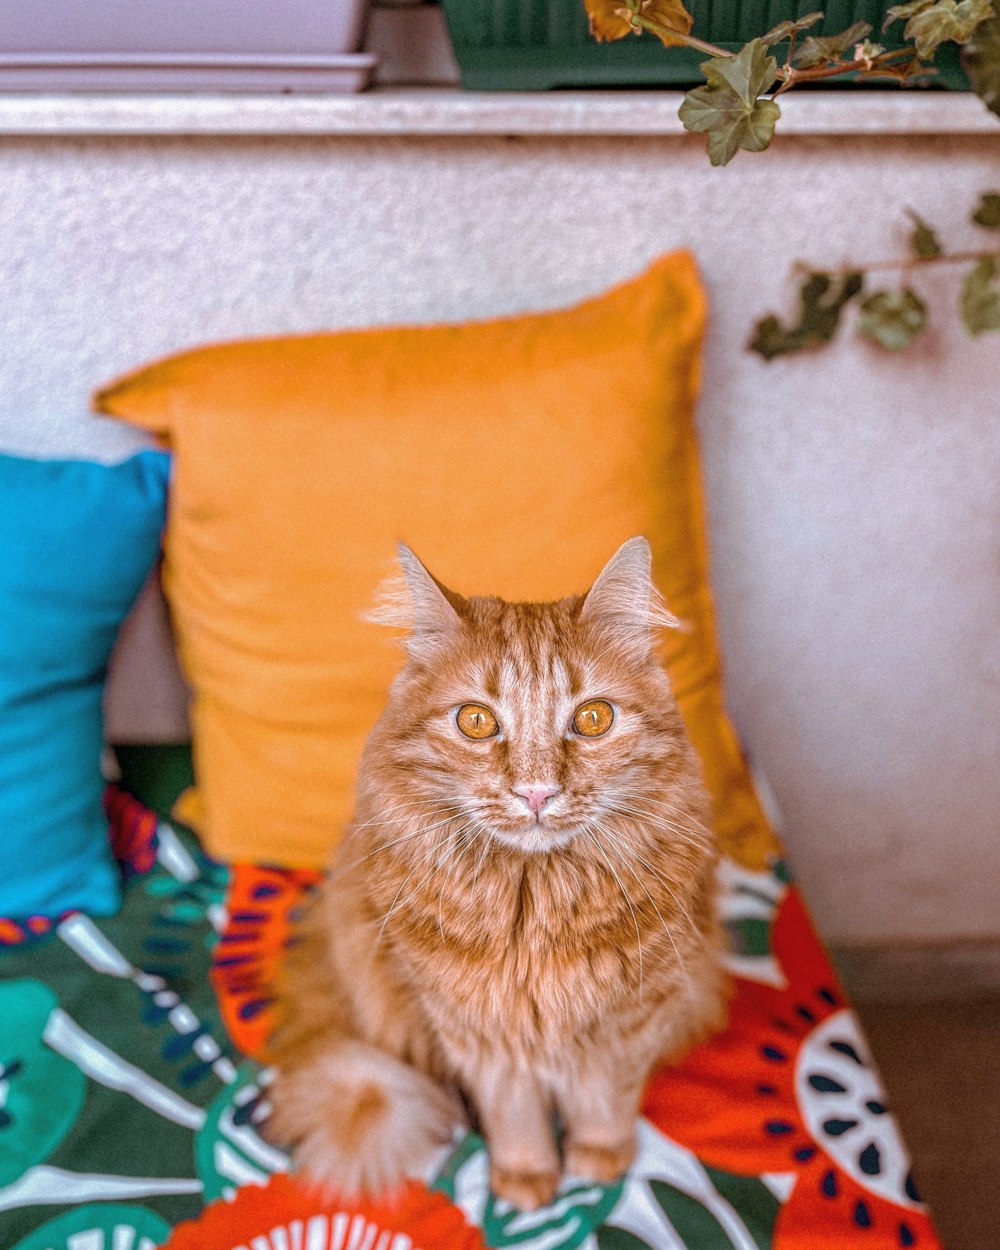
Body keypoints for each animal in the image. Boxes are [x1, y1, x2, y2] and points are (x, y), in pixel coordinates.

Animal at [270, 537, 730, 1210]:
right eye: (477, 722)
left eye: (593, 719)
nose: (536, 791)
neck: (530, 904)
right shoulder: (477, 1033)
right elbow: (514, 1115)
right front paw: (526, 1182)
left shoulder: (632, 1021)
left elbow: (604, 1103)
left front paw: (599, 1162)